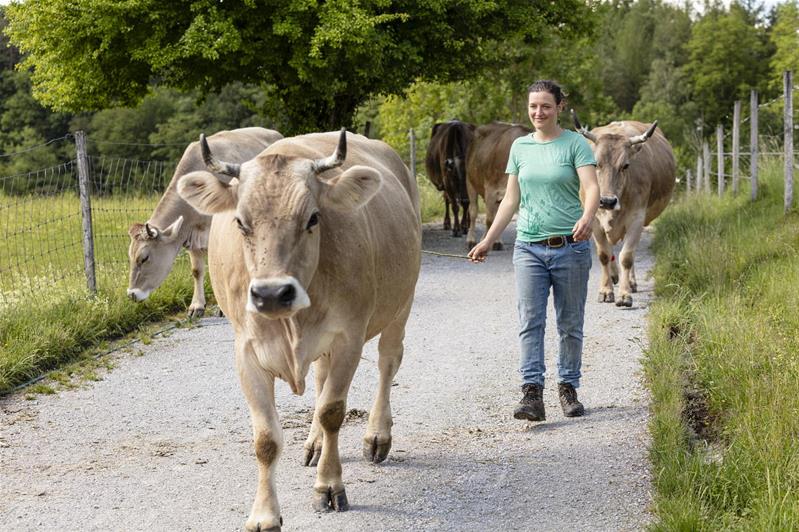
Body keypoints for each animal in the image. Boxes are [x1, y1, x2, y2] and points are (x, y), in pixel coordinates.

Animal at [126, 127, 282, 316]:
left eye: (144, 258)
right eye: (130, 256)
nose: (132, 294)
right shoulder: (191, 235)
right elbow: (197, 271)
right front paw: (197, 305)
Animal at [177, 128, 422, 528]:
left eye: (313, 218)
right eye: (241, 222)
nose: (271, 293)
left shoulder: (349, 338)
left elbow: (332, 412)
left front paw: (330, 486)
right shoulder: (246, 352)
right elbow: (266, 438)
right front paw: (264, 514)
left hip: (402, 303)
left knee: (388, 363)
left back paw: (376, 436)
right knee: (321, 380)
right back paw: (316, 444)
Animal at [466, 121, 536, 250]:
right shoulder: (490, 190)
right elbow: (489, 220)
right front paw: (483, 241)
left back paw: (497, 241)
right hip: (470, 181)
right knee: (473, 211)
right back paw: (471, 240)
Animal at [572, 112, 680, 308]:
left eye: (626, 165)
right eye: (595, 164)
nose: (607, 201)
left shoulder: (637, 218)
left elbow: (627, 257)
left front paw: (624, 294)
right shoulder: (594, 222)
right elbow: (604, 255)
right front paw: (605, 290)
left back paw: (630, 282)